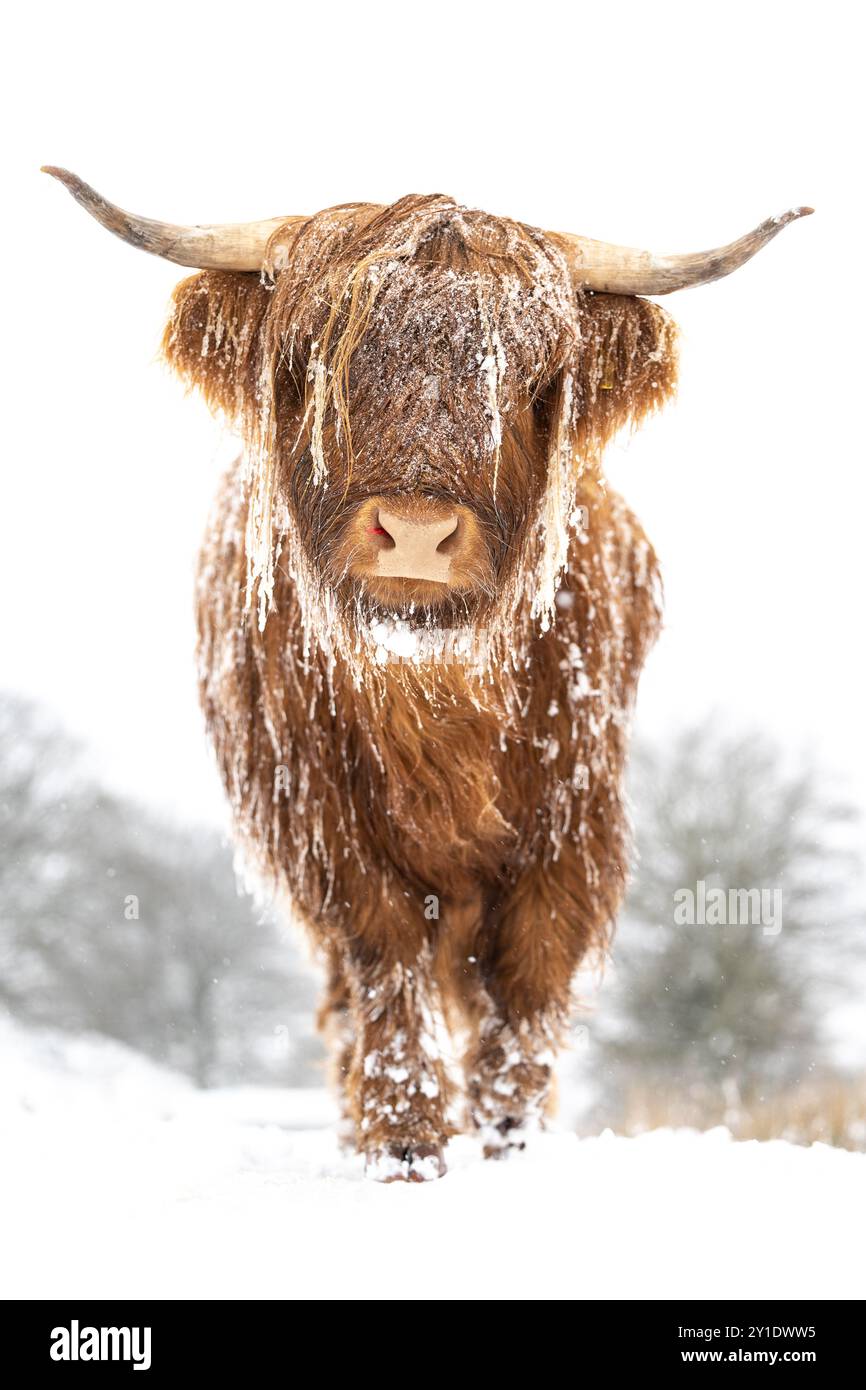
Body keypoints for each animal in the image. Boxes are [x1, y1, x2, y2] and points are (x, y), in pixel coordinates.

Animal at [44, 168, 811, 1178]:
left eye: (530, 379)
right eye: (318, 363)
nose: (415, 531)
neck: (435, 685)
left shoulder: (576, 816)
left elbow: (531, 969)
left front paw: (510, 1138)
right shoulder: (321, 818)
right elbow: (385, 949)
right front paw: (404, 1139)